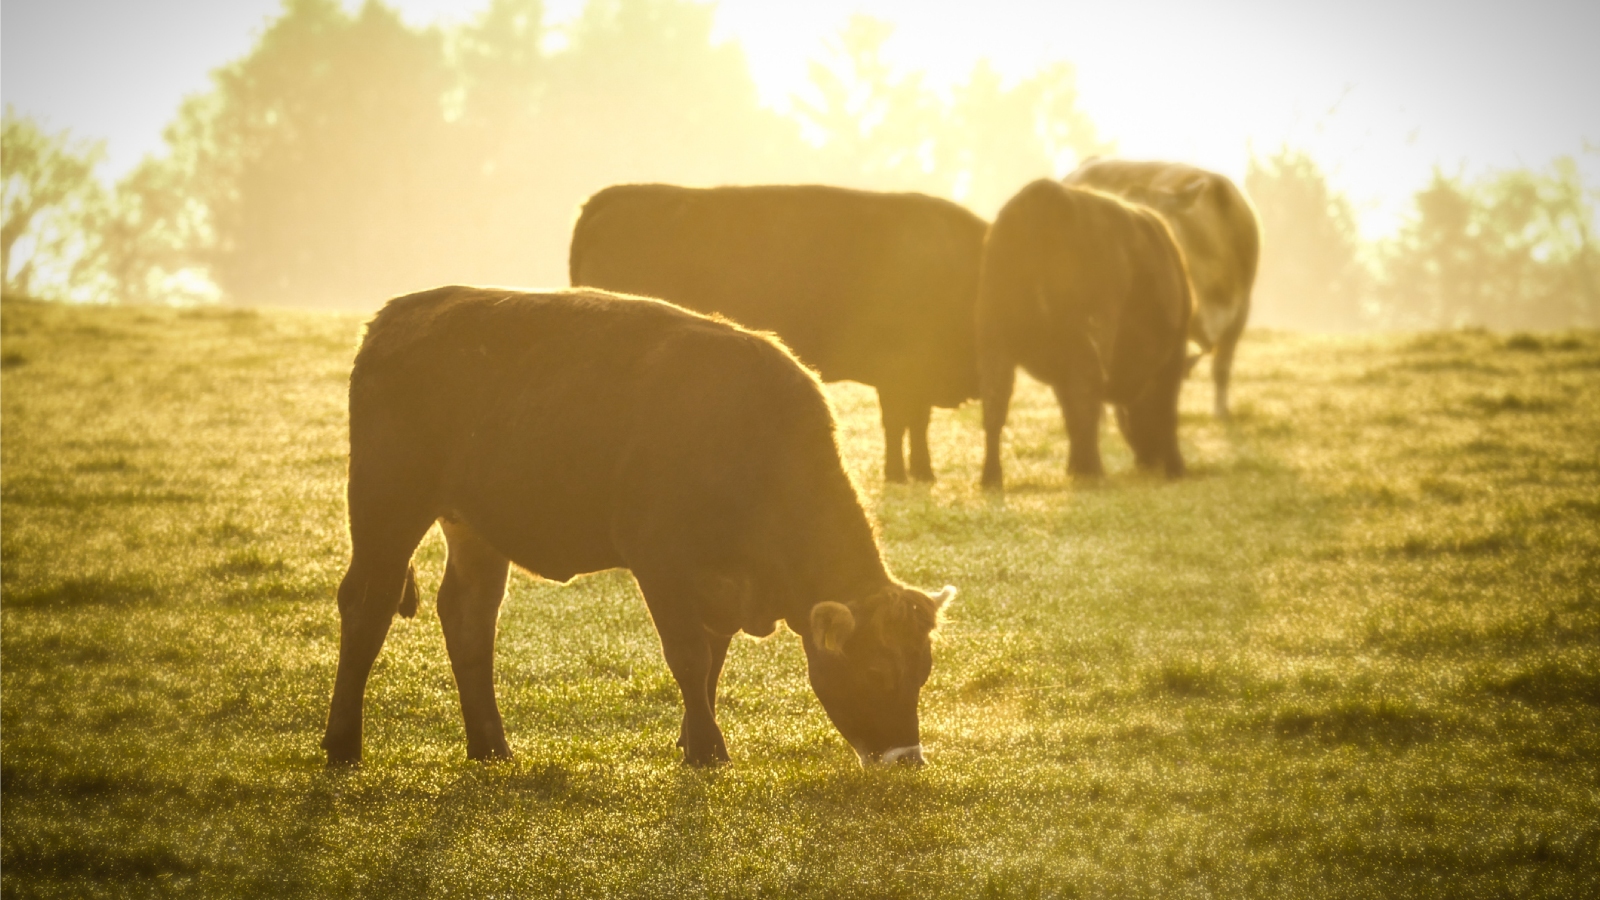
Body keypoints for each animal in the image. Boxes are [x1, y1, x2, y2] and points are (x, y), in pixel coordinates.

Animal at [318, 285, 953, 762]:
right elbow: (688, 655)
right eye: (876, 670)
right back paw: (343, 745)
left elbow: (711, 660)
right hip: (387, 504)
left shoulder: (718, 586)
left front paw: (692, 740)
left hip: (473, 526)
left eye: (922, 672)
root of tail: (398, 314)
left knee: (470, 616)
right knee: (368, 602)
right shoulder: (660, 560)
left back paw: (492, 746)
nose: (907, 760)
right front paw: (709, 752)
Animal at [563, 180, 985, 483]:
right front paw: (903, 475)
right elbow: (900, 423)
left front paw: (921, 473)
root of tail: (613, 195)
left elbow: (916, 422)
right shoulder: (899, 372)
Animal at [972, 179, 1190, 486]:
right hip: (1089, 337)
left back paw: (991, 478)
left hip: (994, 338)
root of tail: (1044, 192)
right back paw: (1094, 472)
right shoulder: (1173, 353)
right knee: (1085, 395)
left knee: (995, 403)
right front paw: (1176, 468)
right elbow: (1167, 410)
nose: (1148, 460)